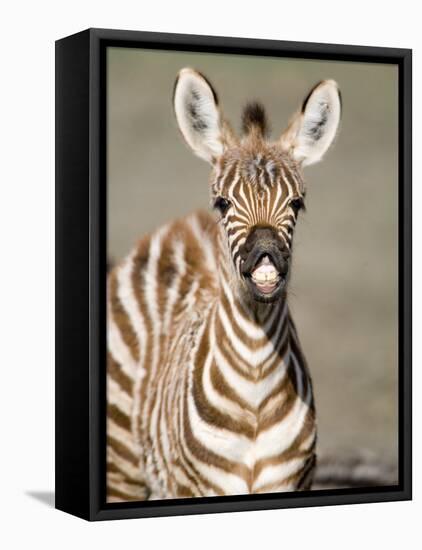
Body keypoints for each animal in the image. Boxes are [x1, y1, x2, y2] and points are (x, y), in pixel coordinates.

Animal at [107, 67, 342, 502]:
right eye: (223, 203)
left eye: (297, 203)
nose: (265, 257)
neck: (255, 384)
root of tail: (181, 225)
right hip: (122, 466)